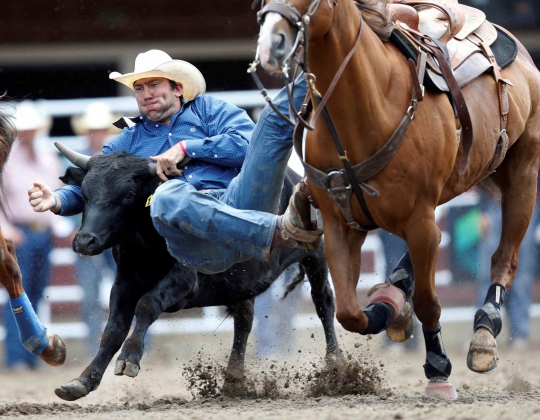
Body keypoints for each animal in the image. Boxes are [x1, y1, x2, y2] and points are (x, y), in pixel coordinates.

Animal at [256, 0, 540, 398]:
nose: (271, 43)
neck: (370, 106)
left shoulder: (419, 221)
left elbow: (428, 303)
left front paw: (438, 369)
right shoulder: (341, 225)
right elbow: (349, 312)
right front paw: (390, 307)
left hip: (522, 175)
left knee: (505, 257)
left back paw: (485, 333)